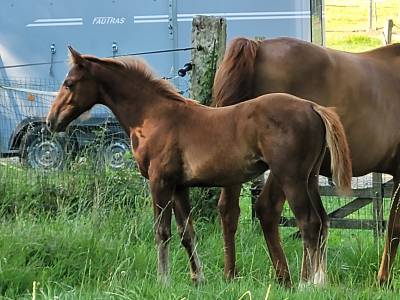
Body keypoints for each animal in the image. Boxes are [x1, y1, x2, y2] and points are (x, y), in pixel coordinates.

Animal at [47, 47, 352, 286]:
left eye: (69, 83)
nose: (52, 121)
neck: (154, 116)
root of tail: (312, 107)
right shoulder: (179, 187)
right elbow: (187, 234)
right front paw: (198, 278)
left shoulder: (159, 182)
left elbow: (162, 232)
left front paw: (163, 279)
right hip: (309, 179)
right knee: (323, 222)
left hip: (291, 178)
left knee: (309, 223)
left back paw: (311, 284)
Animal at [214, 37, 400, 286]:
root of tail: (258, 46)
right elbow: (394, 227)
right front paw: (383, 280)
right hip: (284, 170)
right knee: (269, 209)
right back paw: (286, 278)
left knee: (230, 209)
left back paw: (232, 273)